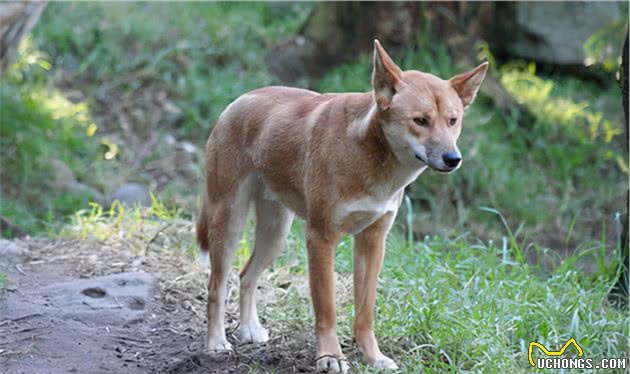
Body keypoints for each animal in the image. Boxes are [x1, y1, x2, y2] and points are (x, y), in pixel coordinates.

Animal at [198, 38, 488, 372]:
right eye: (420, 121)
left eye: (453, 121)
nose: (453, 159)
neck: (370, 157)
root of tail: (239, 100)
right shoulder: (321, 239)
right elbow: (327, 311)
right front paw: (330, 357)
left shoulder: (372, 241)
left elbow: (365, 313)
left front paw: (373, 357)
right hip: (229, 223)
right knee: (217, 286)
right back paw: (216, 343)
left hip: (275, 235)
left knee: (247, 276)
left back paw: (248, 330)